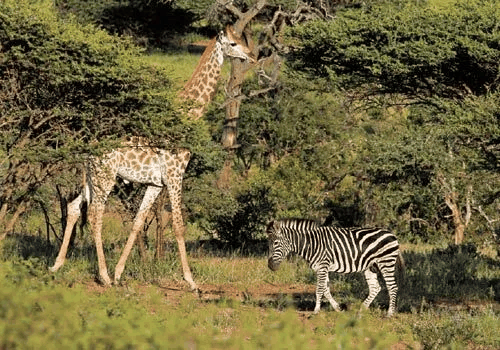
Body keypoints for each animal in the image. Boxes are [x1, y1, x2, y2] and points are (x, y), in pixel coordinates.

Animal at [48, 26, 254, 288]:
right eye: (233, 43)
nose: (251, 57)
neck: (187, 114)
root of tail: (87, 146)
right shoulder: (175, 175)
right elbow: (179, 225)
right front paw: (191, 281)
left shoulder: (155, 183)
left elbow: (137, 222)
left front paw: (119, 272)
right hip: (105, 176)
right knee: (95, 215)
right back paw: (103, 276)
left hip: (92, 176)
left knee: (74, 207)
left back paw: (57, 265)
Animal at [266, 219, 402, 314]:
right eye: (269, 243)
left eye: (275, 243)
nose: (270, 266)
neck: (311, 244)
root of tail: (392, 234)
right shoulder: (321, 268)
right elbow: (326, 289)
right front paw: (337, 308)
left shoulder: (323, 266)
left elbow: (319, 289)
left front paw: (316, 311)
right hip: (370, 266)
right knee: (375, 288)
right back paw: (361, 310)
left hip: (386, 262)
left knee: (392, 287)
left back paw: (389, 314)